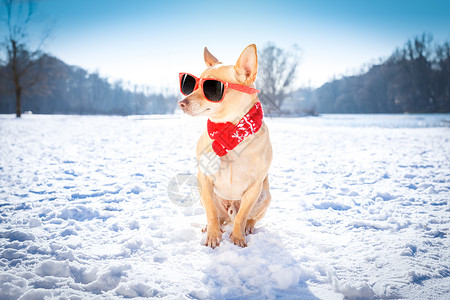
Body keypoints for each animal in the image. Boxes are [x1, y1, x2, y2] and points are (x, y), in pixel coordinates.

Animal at [178, 44, 270, 246]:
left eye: (211, 88)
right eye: (193, 85)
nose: (181, 103)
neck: (229, 129)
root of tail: (229, 211)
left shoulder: (255, 186)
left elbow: (242, 215)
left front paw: (237, 237)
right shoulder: (204, 179)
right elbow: (211, 212)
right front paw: (213, 236)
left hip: (265, 195)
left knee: (246, 218)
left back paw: (247, 228)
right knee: (219, 216)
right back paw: (211, 227)